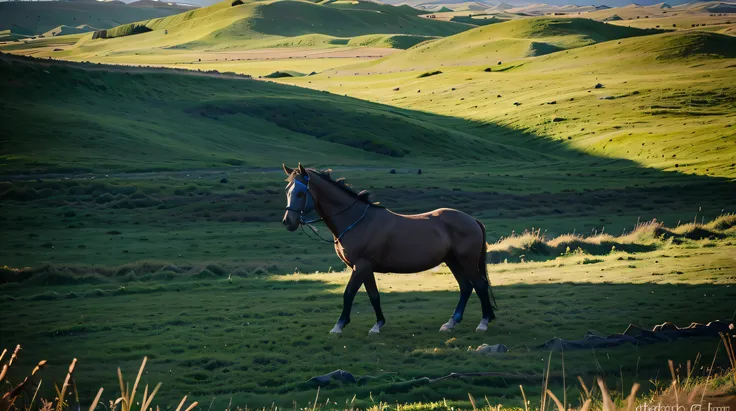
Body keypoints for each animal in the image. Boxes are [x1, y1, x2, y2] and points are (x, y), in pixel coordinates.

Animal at [282, 164, 500, 334]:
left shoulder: (360, 266)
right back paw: (452, 322)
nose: (288, 222)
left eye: (300, 193)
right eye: (287, 191)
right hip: (452, 261)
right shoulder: (365, 268)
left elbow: (348, 293)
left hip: (466, 261)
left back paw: (483, 322)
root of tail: (472, 220)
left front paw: (339, 325)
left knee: (479, 286)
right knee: (466, 287)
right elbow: (374, 296)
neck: (357, 221)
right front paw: (378, 324)